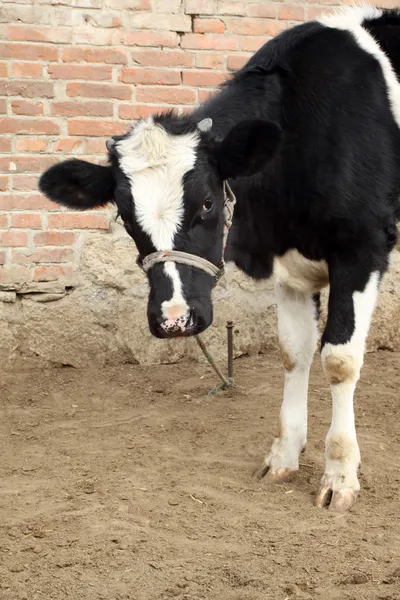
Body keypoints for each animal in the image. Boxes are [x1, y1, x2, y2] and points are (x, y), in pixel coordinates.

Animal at [39, 4, 400, 510]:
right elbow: (294, 352)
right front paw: (284, 456)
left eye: (208, 202)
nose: (174, 319)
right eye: (125, 214)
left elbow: (340, 358)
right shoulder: (291, 265)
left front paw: (340, 474)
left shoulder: (362, 246)